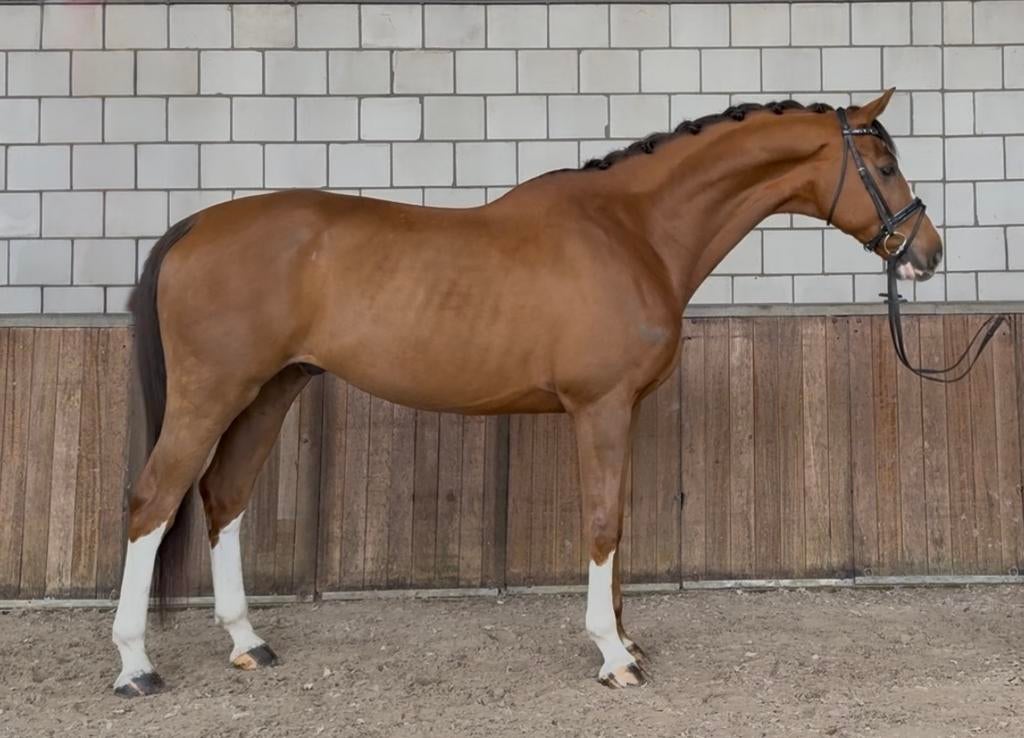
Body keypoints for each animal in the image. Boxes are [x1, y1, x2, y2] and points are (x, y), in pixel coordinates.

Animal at [110, 88, 943, 696]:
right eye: (885, 165)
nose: (928, 254)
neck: (632, 229)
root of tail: (194, 226)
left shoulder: (621, 413)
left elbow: (620, 519)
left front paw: (627, 638)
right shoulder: (599, 407)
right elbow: (602, 522)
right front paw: (613, 656)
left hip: (271, 391)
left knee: (224, 498)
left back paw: (247, 642)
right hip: (212, 394)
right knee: (154, 502)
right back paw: (136, 665)